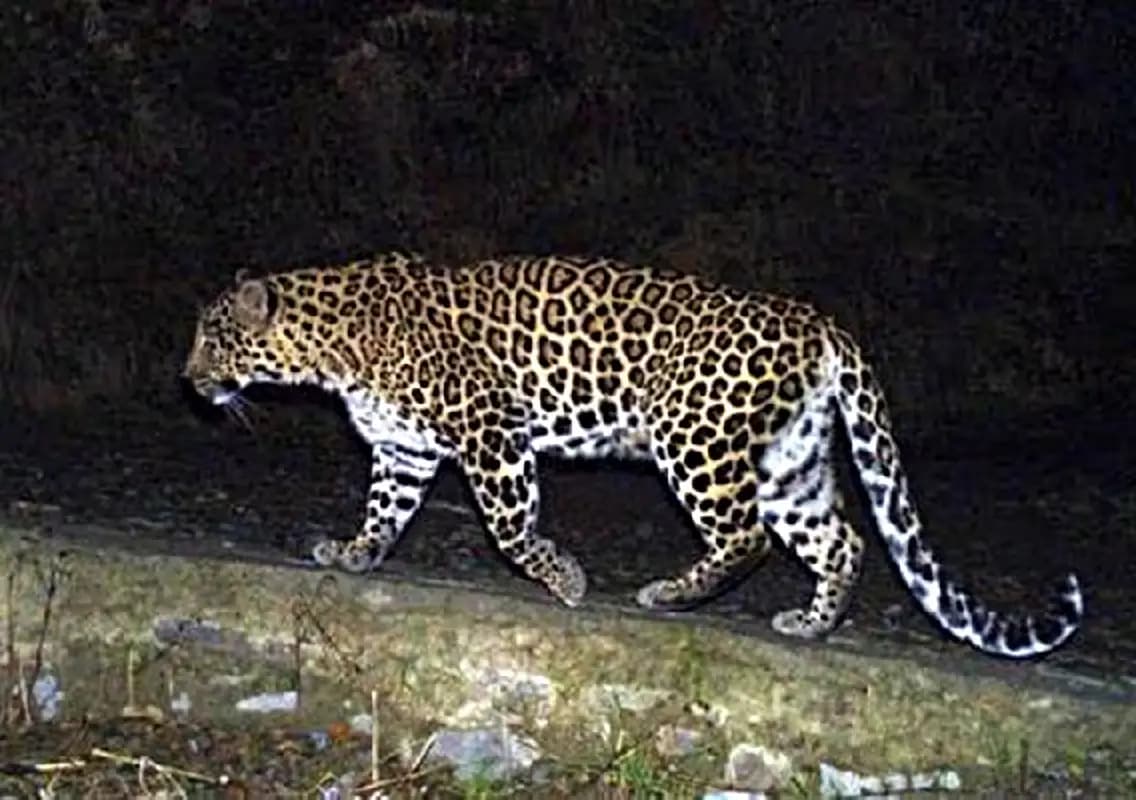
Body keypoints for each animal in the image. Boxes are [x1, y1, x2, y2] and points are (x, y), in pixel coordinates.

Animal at [183, 252, 1083, 658]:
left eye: (213, 337)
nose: (188, 381)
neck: (331, 346)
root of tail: (818, 321)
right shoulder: (404, 450)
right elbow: (383, 513)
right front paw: (354, 553)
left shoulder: (490, 429)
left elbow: (510, 526)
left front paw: (565, 580)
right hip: (790, 460)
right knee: (844, 540)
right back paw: (810, 623)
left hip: (696, 437)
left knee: (746, 538)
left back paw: (669, 594)